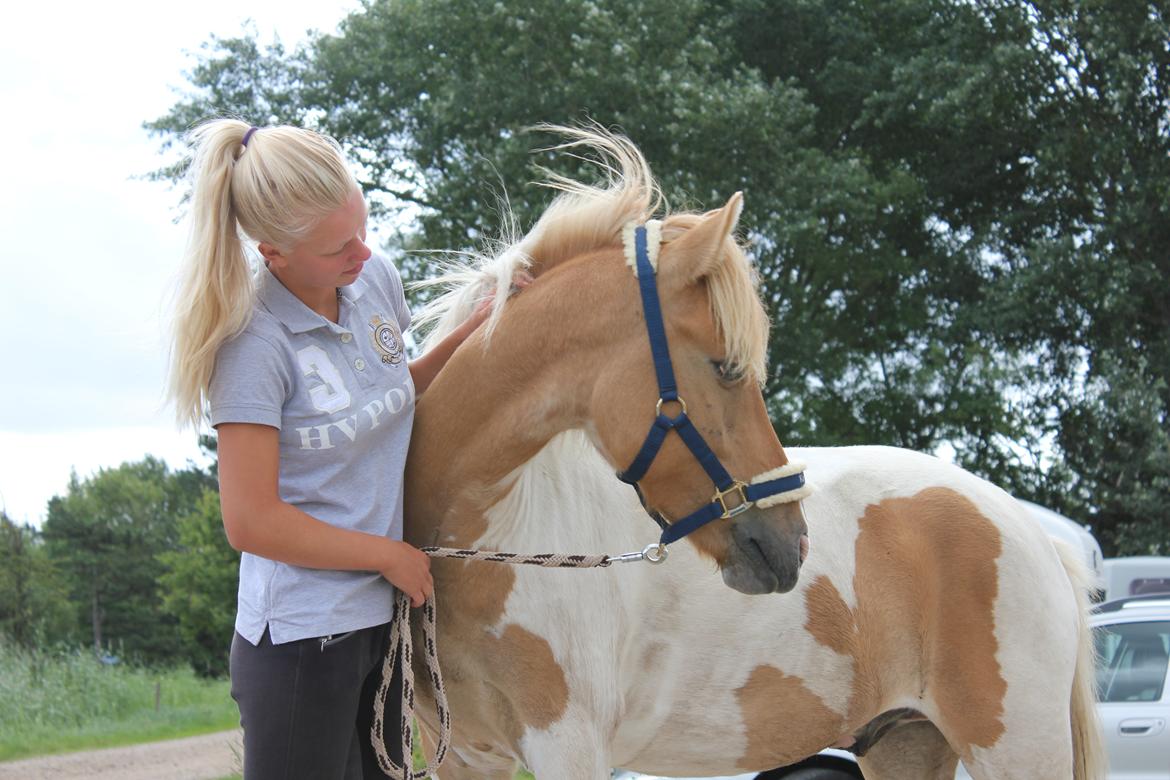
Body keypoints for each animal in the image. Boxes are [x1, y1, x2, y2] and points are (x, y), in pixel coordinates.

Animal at [402, 129, 1104, 780]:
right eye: (728, 366)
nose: (791, 543)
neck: (489, 535)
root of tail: (1035, 535)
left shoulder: (567, 748)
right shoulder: (462, 757)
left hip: (1017, 749)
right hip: (908, 744)